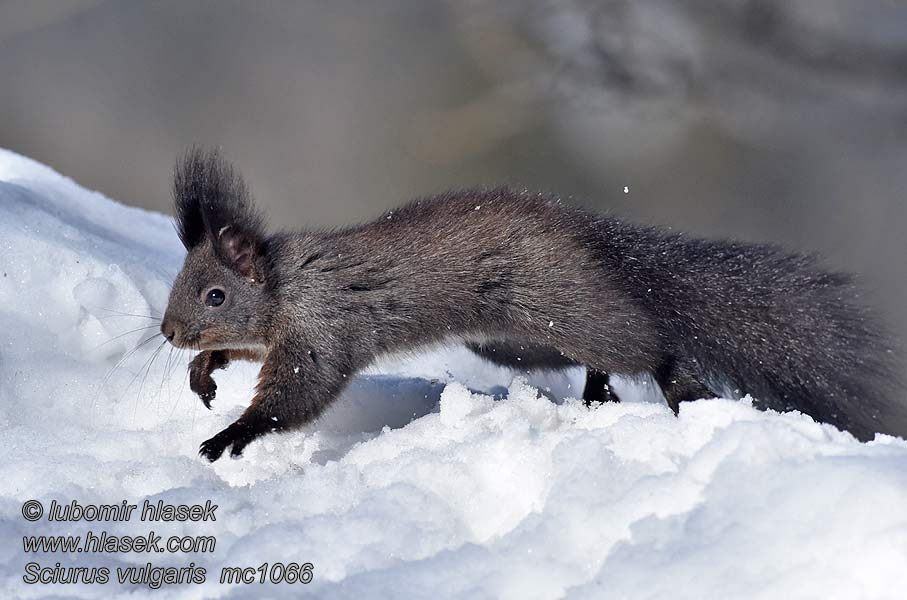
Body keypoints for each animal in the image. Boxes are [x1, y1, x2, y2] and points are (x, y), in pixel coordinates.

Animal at [160, 148, 904, 462]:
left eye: (215, 294)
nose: (168, 333)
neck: (285, 283)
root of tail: (589, 236)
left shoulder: (321, 327)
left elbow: (298, 391)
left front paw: (231, 435)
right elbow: (248, 356)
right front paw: (205, 372)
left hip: (561, 304)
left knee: (645, 339)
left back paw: (674, 381)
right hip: (515, 339)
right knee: (597, 353)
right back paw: (598, 391)